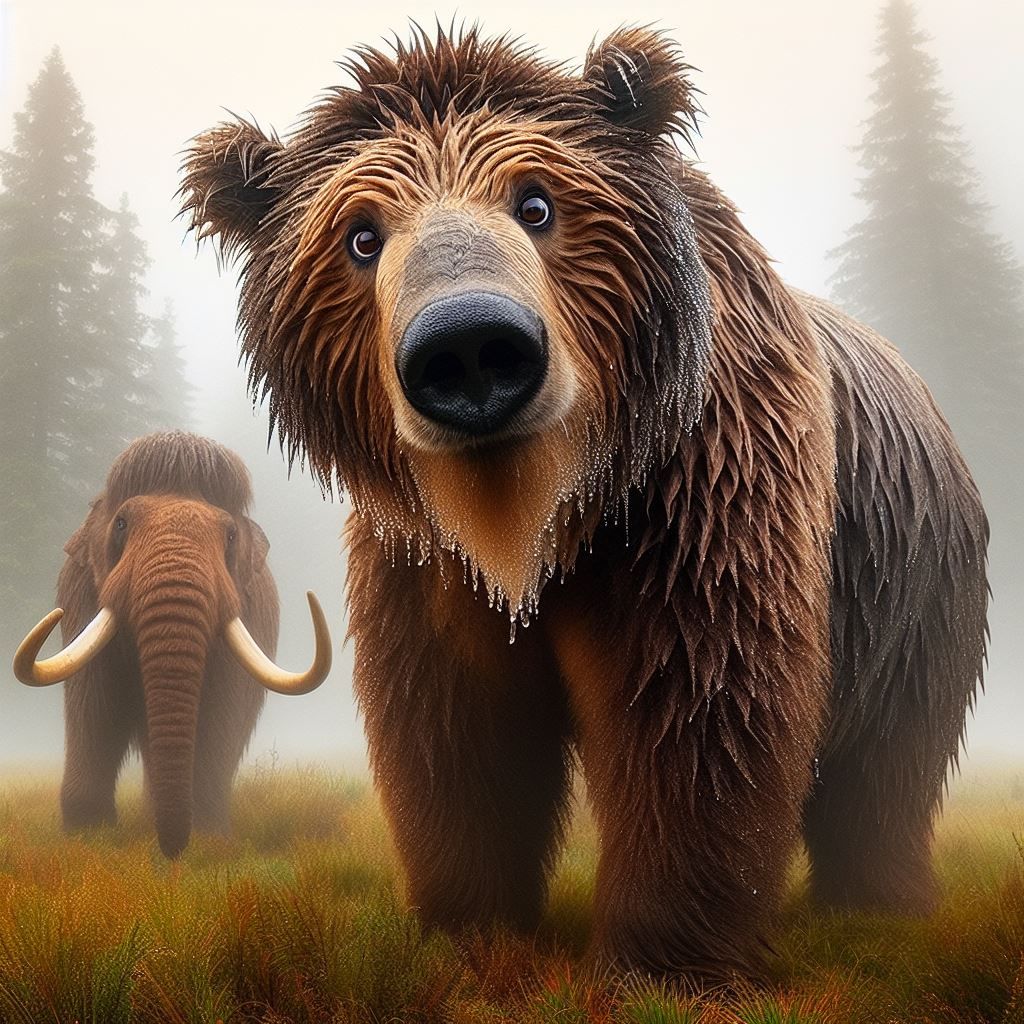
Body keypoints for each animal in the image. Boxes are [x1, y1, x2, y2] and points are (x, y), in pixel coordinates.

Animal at [179, 26, 989, 983]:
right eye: (361, 236)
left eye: (537, 202)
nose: (470, 345)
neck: (535, 517)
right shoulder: (427, 569)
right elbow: (455, 738)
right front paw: (472, 931)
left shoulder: (698, 507)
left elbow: (696, 717)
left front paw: (663, 962)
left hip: (909, 589)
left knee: (887, 771)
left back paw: (876, 908)